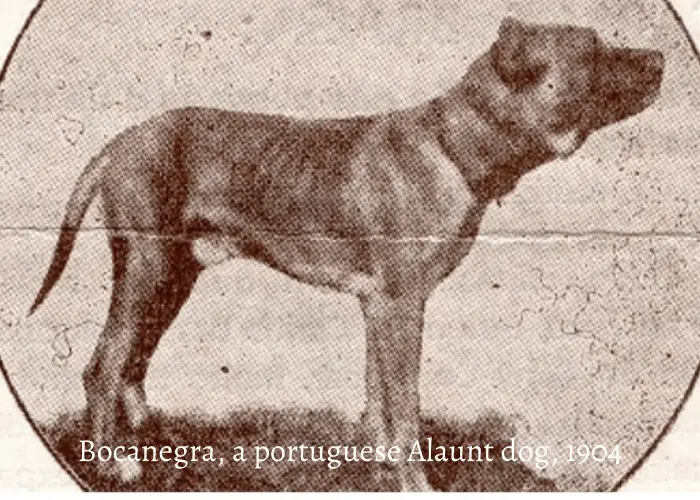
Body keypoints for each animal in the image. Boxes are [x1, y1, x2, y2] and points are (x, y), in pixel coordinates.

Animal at [28, 17, 660, 490]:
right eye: (594, 49)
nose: (659, 59)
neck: (454, 147)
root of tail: (120, 141)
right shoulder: (402, 304)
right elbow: (405, 404)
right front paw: (415, 482)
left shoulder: (379, 305)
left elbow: (378, 393)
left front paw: (380, 459)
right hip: (151, 269)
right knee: (104, 367)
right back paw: (113, 462)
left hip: (173, 276)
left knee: (133, 360)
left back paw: (150, 435)